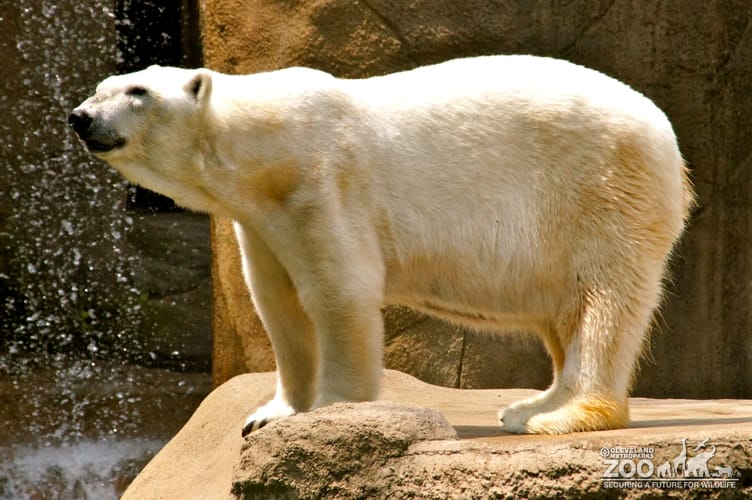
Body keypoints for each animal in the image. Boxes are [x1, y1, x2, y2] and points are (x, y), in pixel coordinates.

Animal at [69, 55, 694, 437]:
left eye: (138, 91)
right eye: (100, 88)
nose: (80, 117)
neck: (262, 151)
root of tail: (665, 132)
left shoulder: (323, 182)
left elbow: (338, 292)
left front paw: (332, 408)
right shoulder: (263, 218)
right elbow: (278, 305)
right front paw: (269, 414)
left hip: (602, 189)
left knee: (602, 301)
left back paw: (558, 415)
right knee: (563, 311)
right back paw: (531, 404)